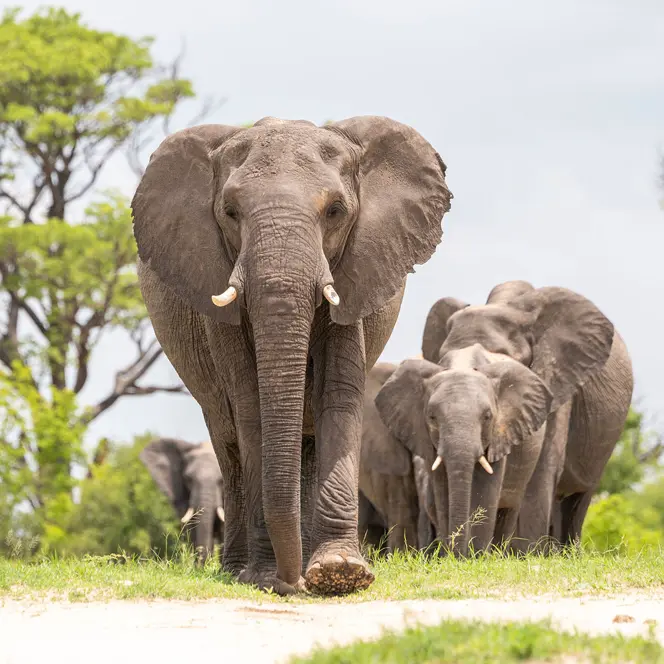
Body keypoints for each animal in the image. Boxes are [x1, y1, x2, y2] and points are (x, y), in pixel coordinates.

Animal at [131, 116, 452, 595]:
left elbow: (338, 394)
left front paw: (340, 573)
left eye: (335, 211)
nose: (289, 584)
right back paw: (242, 569)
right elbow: (250, 406)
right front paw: (266, 577)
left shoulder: (354, 274)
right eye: (230, 213)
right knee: (228, 442)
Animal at [375, 281, 633, 556]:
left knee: (577, 499)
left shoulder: (559, 381)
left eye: (503, 358)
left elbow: (540, 475)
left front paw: (527, 556)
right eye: (444, 359)